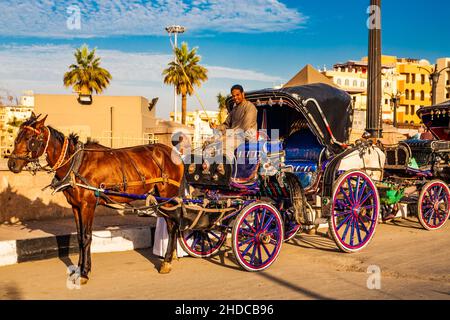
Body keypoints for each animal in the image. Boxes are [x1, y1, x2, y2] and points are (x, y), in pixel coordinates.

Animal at [6, 114, 185, 284]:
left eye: (30, 139)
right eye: (17, 136)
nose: (12, 164)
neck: (75, 163)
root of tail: (175, 154)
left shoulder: (87, 205)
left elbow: (86, 237)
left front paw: (84, 273)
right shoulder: (76, 206)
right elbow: (79, 237)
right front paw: (79, 269)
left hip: (167, 195)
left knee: (173, 224)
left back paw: (167, 261)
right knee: (172, 223)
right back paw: (172, 256)